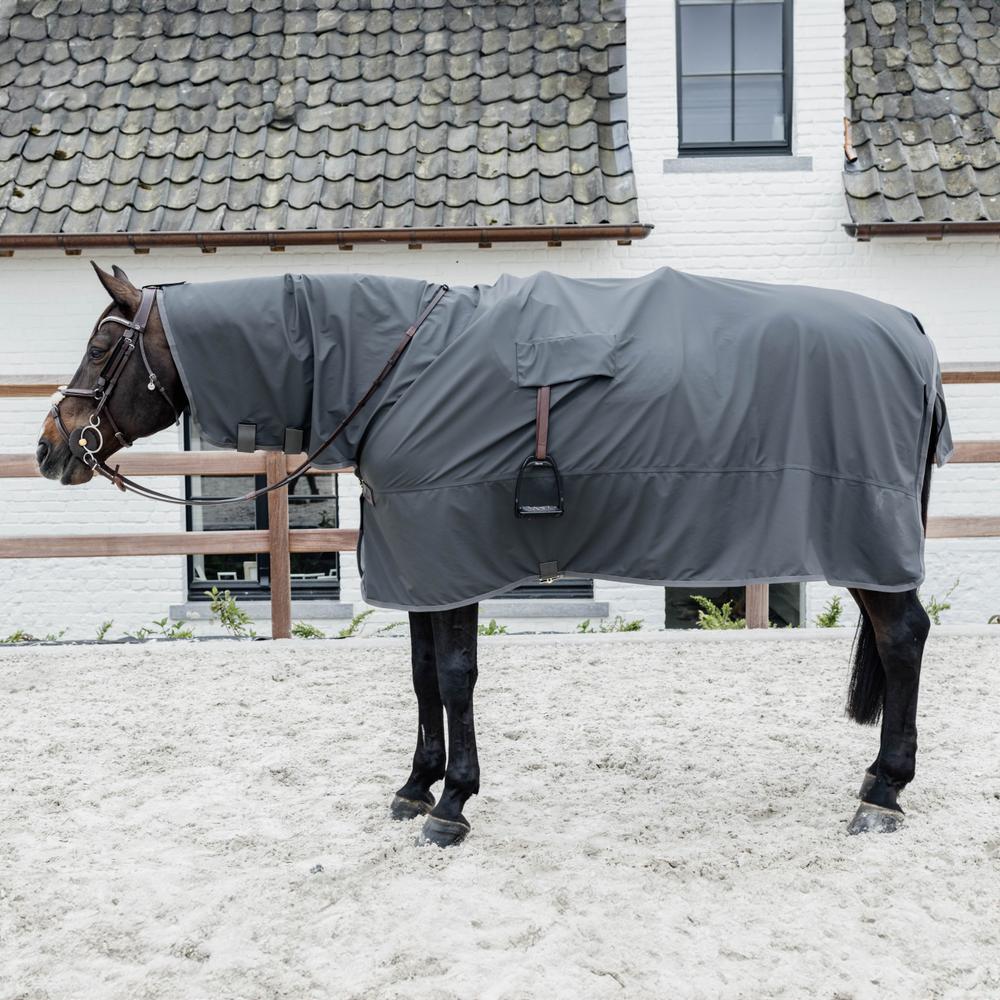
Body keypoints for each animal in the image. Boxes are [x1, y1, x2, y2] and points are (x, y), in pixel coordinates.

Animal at [36, 262, 943, 846]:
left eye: (100, 347)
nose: (50, 446)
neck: (392, 372)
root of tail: (912, 331)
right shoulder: (418, 562)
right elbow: (420, 676)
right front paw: (416, 787)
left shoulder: (452, 555)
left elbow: (454, 677)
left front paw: (453, 805)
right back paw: (877, 784)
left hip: (865, 540)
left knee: (903, 640)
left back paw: (884, 794)